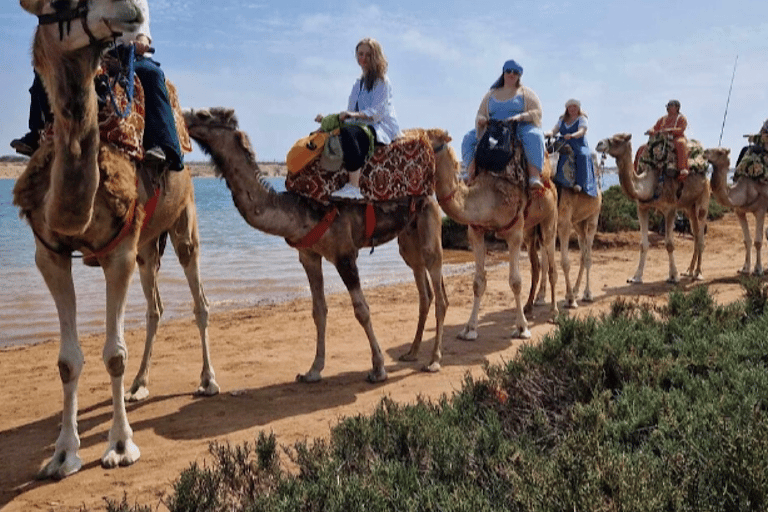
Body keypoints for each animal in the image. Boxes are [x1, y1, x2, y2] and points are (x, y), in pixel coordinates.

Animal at [14, 0, 218, 479]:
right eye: (57, 4)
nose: (134, 12)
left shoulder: (118, 253)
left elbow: (113, 354)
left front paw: (121, 446)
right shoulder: (49, 255)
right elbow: (67, 360)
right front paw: (62, 455)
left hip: (184, 223)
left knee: (199, 301)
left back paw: (207, 380)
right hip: (146, 248)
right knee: (155, 307)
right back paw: (140, 385)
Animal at [182, 108, 447, 382]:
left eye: (203, 114)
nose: (183, 118)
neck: (300, 209)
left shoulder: (344, 254)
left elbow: (361, 310)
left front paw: (378, 368)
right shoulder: (309, 256)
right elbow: (318, 311)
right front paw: (313, 370)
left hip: (428, 221)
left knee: (439, 294)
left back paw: (434, 360)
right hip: (409, 238)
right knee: (425, 292)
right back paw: (412, 352)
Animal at [596, 133, 710, 284]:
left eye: (619, 139)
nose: (599, 144)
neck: (651, 184)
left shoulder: (670, 209)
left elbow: (669, 244)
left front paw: (673, 276)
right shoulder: (642, 208)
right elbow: (643, 244)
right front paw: (636, 277)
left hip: (704, 196)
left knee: (701, 235)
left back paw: (698, 273)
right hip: (688, 206)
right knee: (696, 235)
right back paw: (688, 271)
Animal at [706, 147, 768, 275]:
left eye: (720, 152)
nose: (705, 152)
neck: (746, 190)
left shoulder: (761, 210)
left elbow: (758, 241)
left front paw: (758, 269)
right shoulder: (739, 212)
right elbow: (747, 240)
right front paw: (744, 268)